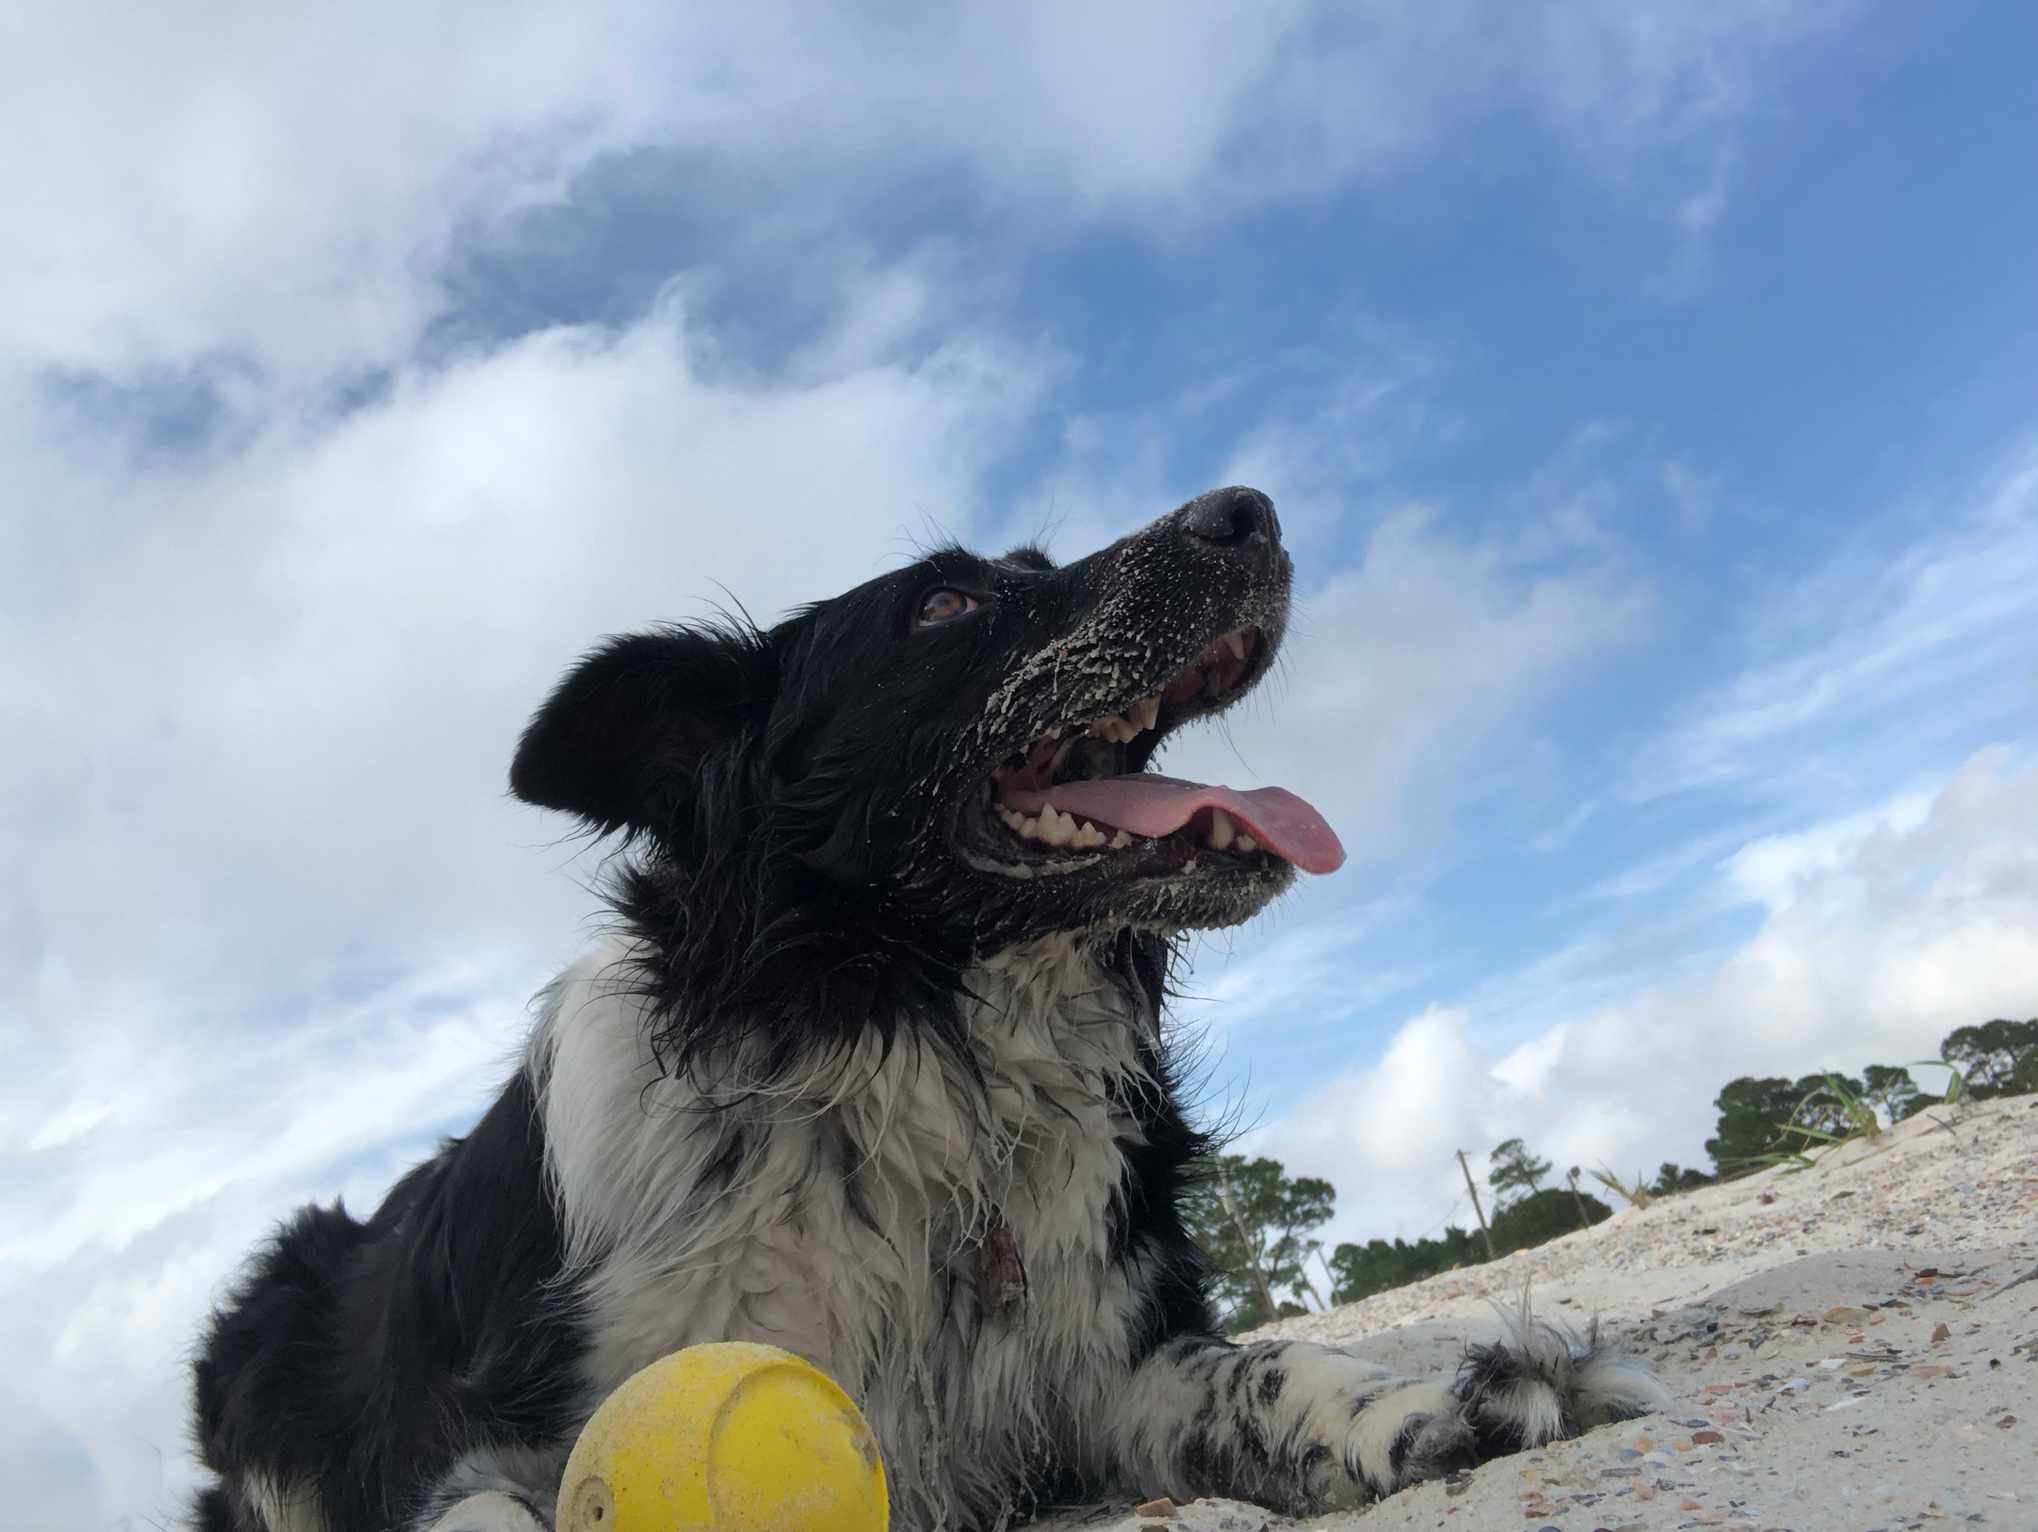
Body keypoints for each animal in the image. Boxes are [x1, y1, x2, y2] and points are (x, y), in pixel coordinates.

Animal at [187, 493, 1654, 1532]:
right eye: (942, 604)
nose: (1253, 512)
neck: (915, 1042)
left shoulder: (1100, 1365)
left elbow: (1267, 1368)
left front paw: (1429, 1404)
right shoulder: (490, 1438)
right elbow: (488, 1505)